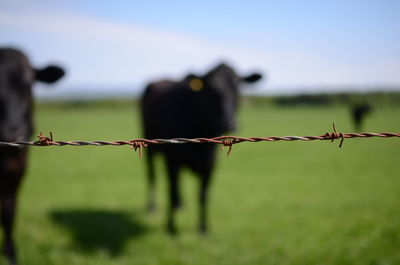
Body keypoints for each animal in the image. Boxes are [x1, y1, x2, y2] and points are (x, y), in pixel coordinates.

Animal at [141, 63, 262, 234]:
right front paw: (171, 227)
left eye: (238, 88)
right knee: (152, 176)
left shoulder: (210, 164)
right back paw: (152, 206)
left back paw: (180, 205)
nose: (229, 123)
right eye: (212, 90)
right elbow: (172, 191)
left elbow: (203, 195)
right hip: (149, 148)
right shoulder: (172, 161)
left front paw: (203, 228)